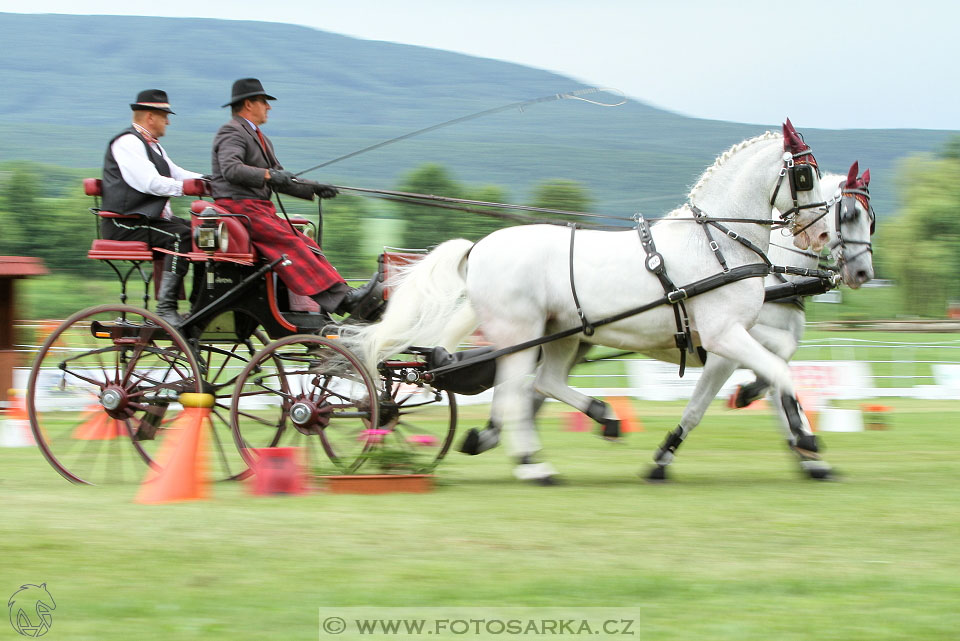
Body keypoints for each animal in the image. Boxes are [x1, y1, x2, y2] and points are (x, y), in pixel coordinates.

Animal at [348, 121, 828, 480]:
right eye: (806, 174)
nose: (820, 232)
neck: (715, 242)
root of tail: (479, 248)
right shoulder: (724, 335)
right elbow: (778, 374)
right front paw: (806, 439)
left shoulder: (735, 338)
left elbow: (773, 373)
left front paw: (795, 436)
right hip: (520, 333)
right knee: (515, 395)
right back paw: (533, 465)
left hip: (561, 333)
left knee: (541, 385)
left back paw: (600, 417)